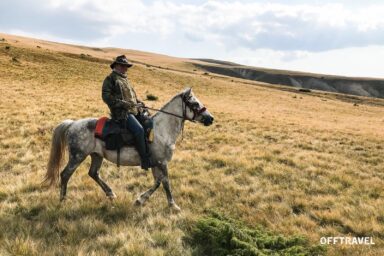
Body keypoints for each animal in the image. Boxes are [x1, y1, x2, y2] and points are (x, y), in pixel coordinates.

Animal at [44, 87, 216, 210]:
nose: (210, 118)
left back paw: (111, 194)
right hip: (77, 156)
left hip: (96, 155)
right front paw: (173, 205)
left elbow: (158, 182)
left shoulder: (155, 163)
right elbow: (166, 182)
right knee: (65, 174)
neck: (161, 130)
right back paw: (63, 200)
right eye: (195, 104)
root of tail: (72, 124)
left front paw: (140, 200)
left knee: (93, 173)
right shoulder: (162, 162)